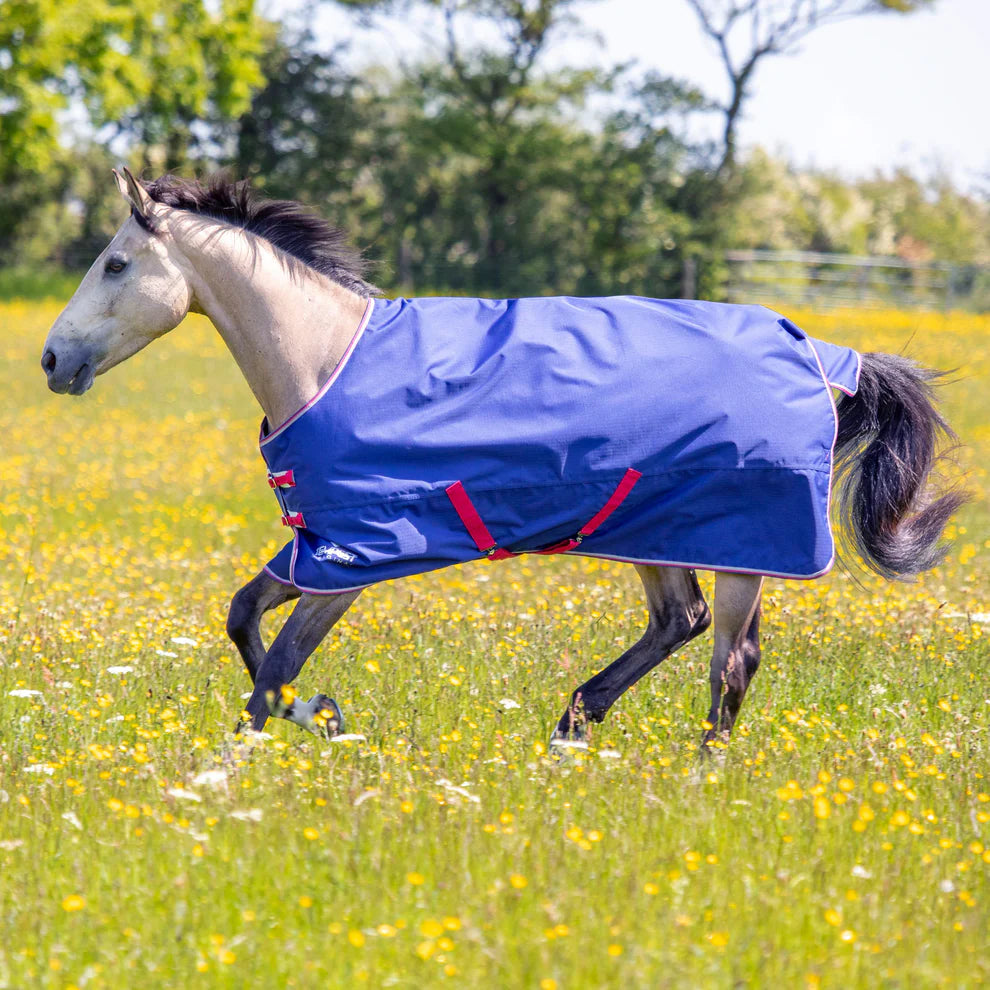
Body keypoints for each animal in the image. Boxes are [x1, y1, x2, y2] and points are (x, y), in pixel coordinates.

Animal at [41, 169, 965, 749]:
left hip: (743, 543)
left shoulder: (355, 559)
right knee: (682, 621)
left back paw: (697, 775)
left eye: (115, 263)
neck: (325, 359)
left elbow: (273, 671)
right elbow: (242, 617)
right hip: (653, 524)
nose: (52, 360)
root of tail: (820, 354)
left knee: (728, 662)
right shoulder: (316, 542)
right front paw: (329, 718)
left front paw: (237, 769)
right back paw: (571, 727)